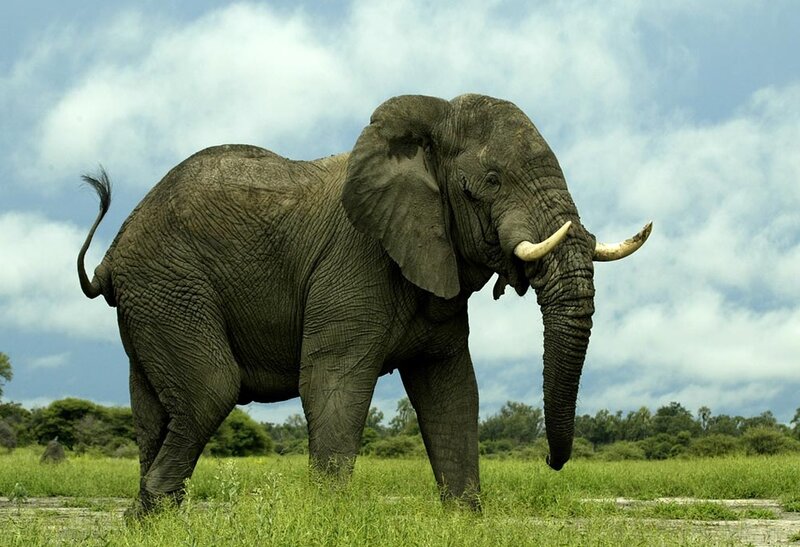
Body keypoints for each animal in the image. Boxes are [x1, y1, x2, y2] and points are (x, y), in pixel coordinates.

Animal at [78, 93, 651, 515]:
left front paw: (464, 520)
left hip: (153, 298)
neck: (428, 125)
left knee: (154, 408)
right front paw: (328, 521)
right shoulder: (355, 261)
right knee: (209, 391)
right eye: (491, 182)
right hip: (169, 284)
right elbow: (332, 383)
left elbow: (453, 392)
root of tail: (112, 253)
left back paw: (149, 523)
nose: (551, 462)